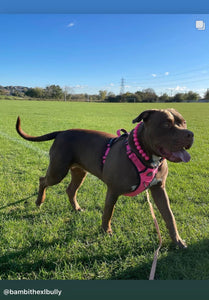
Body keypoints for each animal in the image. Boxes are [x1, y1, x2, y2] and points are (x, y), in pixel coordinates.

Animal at [15, 109, 193, 247]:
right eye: (166, 124)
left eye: (183, 122)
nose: (190, 134)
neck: (144, 155)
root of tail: (61, 132)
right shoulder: (113, 190)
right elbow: (108, 212)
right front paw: (106, 231)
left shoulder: (159, 189)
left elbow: (169, 216)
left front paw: (177, 241)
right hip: (57, 172)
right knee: (42, 180)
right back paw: (39, 201)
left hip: (79, 172)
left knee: (70, 190)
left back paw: (76, 208)